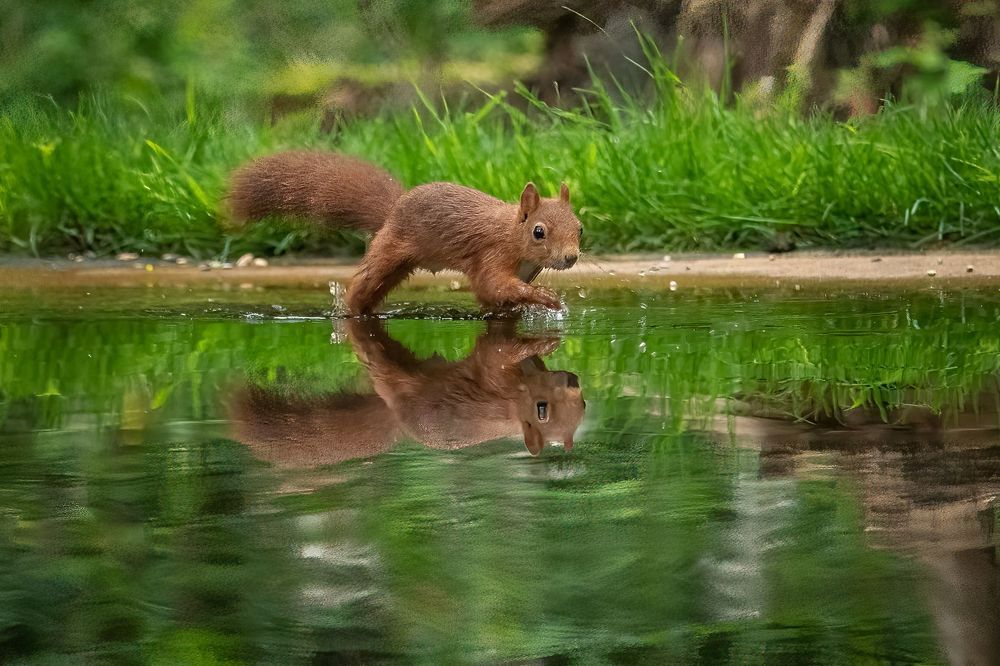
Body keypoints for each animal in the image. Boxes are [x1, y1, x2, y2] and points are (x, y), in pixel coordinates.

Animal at [227, 151, 582, 314]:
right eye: (539, 232)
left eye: (580, 227)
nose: (571, 257)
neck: (511, 233)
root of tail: (393, 209)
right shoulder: (491, 254)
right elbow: (492, 285)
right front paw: (545, 297)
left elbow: (494, 297)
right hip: (388, 252)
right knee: (362, 286)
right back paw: (350, 312)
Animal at [230, 318, 585, 465]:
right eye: (541, 409)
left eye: (582, 405)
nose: (573, 382)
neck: (513, 408)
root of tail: (395, 412)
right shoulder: (496, 385)